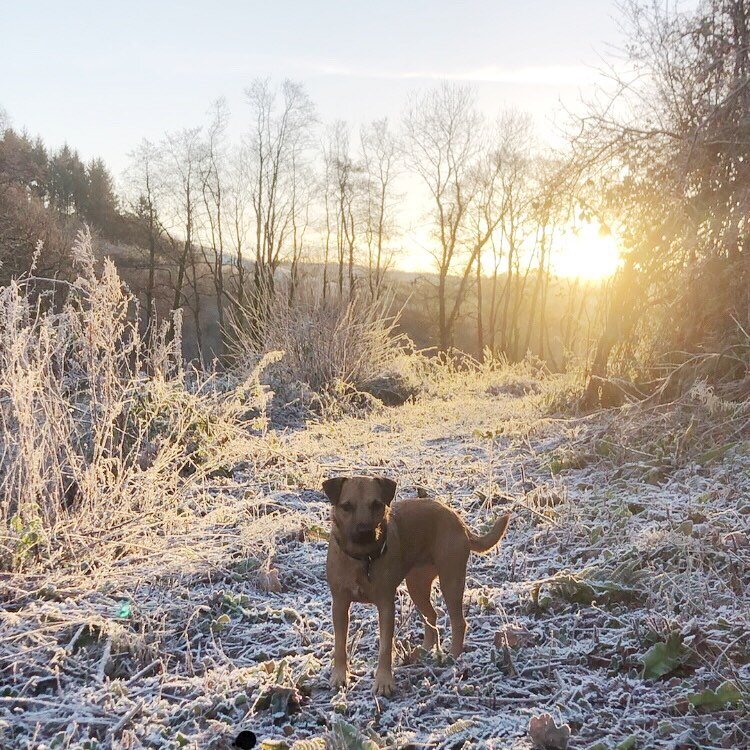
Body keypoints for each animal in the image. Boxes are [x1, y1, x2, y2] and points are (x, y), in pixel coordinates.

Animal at [324, 478, 512, 696]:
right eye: (346, 506)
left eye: (376, 504)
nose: (365, 533)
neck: (363, 559)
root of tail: (458, 520)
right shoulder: (339, 604)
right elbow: (340, 644)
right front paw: (339, 676)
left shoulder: (386, 605)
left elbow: (385, 647)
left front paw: (384, 681)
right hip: (416, 584)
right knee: (431, 615)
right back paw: (425, 649)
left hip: (451, 579)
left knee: (459, 622)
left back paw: (452, 657)